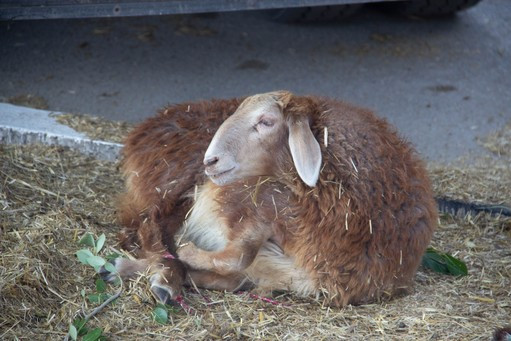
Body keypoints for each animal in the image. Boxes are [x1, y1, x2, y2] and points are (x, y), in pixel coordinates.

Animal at [103, 89, 436, 306]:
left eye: (266, 121)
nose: (210, 160)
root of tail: (143, 131)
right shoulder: (256, 203)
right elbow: (237, 256)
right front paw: (187, 254)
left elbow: (237, 268)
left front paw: (187, 259)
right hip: (183, 186)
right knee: (150, 228)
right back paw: (162, 276)